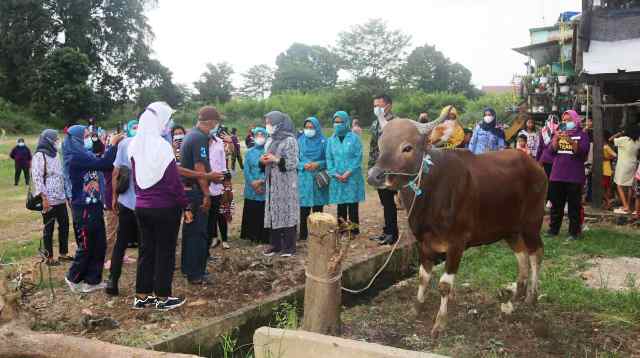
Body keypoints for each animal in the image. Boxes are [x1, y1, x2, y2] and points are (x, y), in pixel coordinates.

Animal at [368, 117, 548, 336]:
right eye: (380, 144)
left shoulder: (457, 243)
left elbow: (444, 285)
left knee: (536, 254)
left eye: (407, 147)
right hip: (510, 229)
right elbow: (423, 277)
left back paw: (532, 295)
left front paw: (440, 323)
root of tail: (536, 166)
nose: (373, 176)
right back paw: (515, 293)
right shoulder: (423, 242)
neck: (431, 193)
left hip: (532, 224)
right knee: (522, 255)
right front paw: (416, 308)